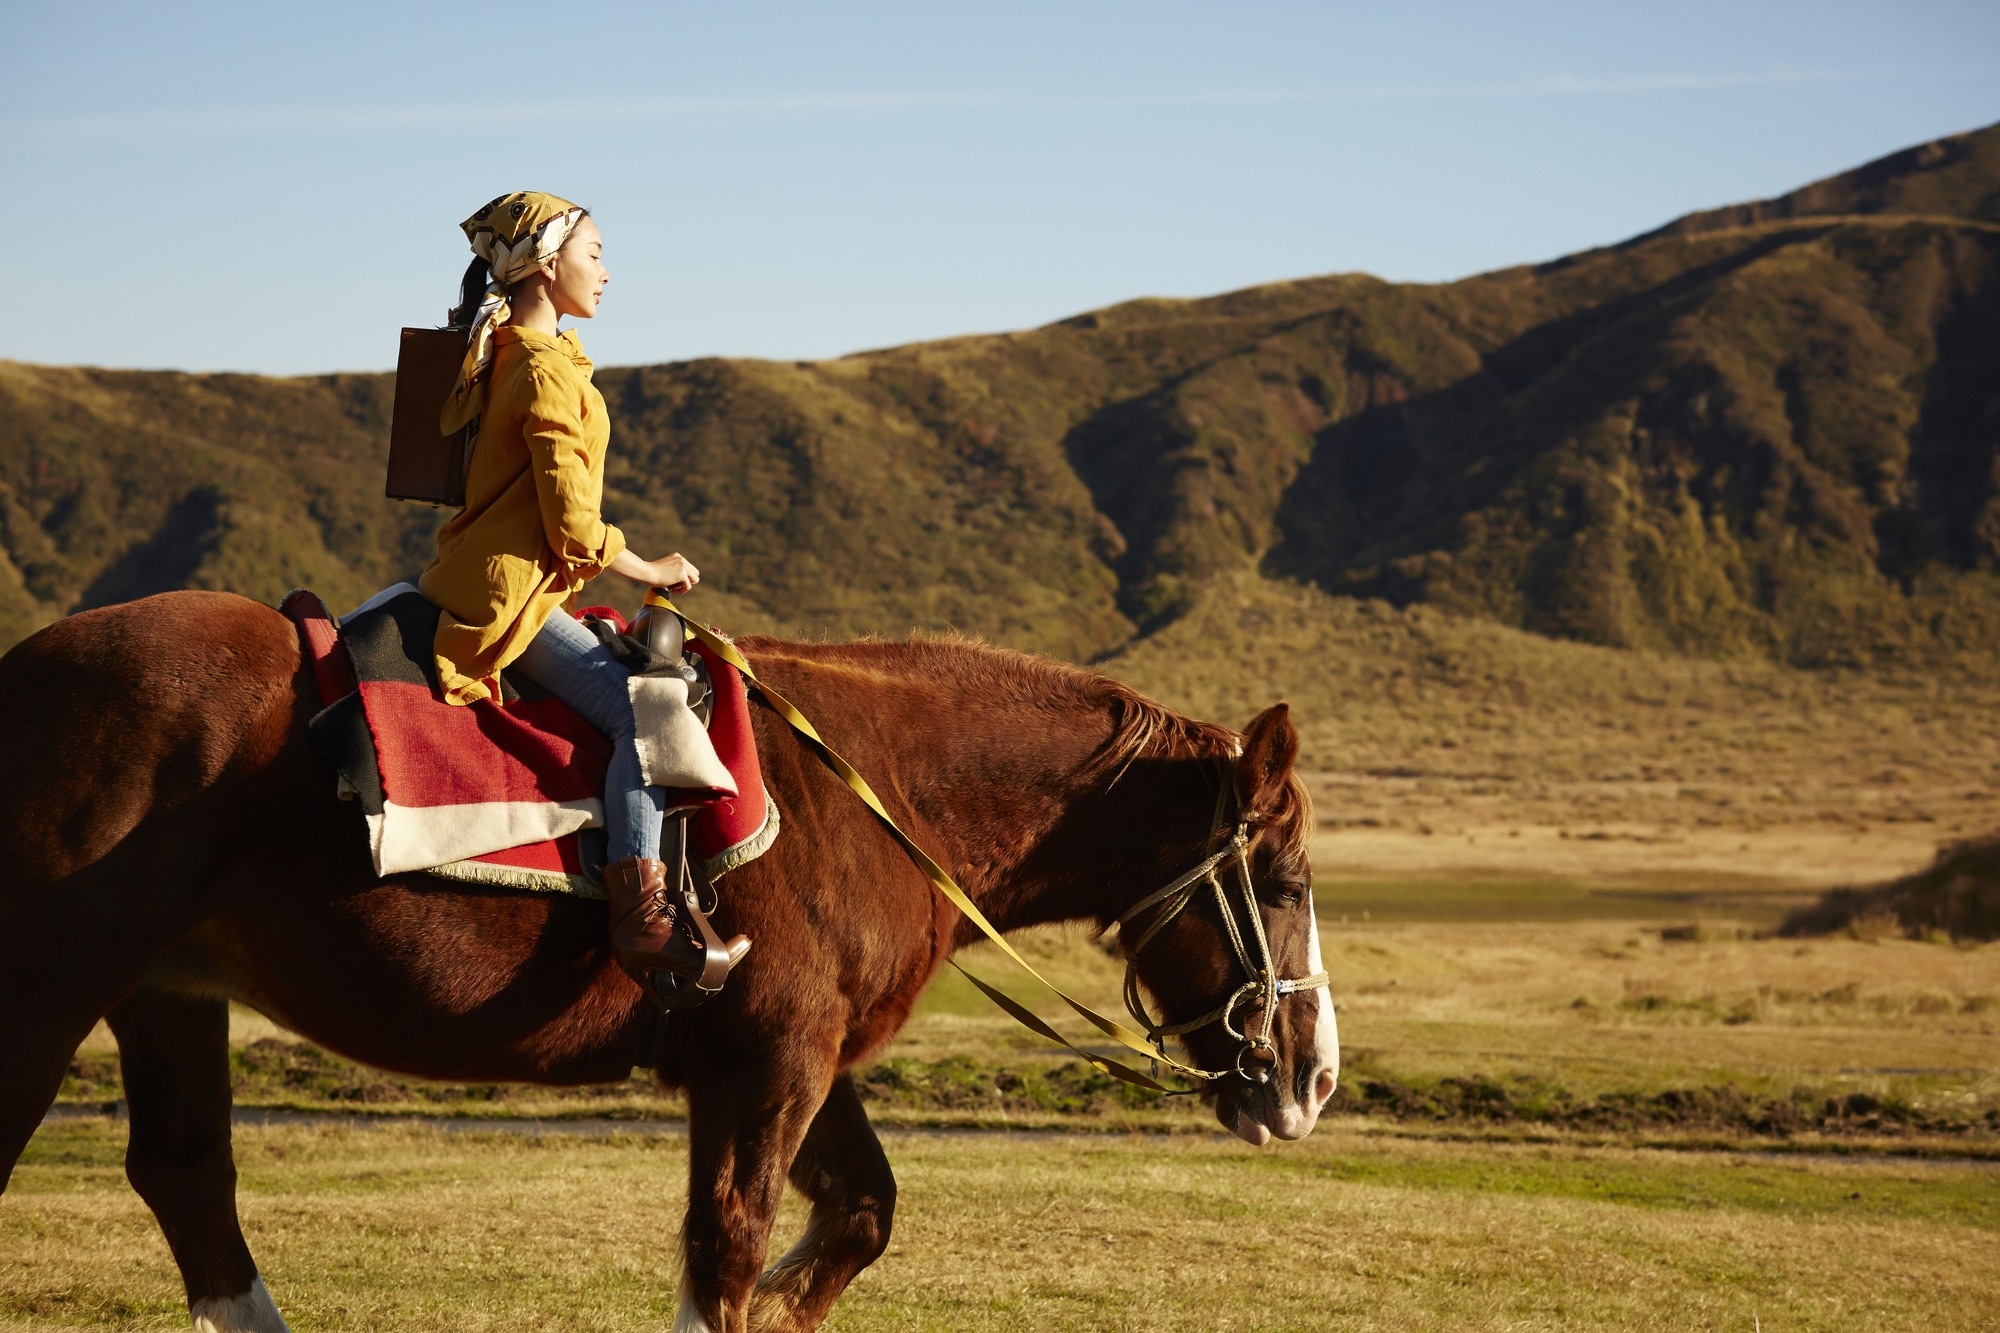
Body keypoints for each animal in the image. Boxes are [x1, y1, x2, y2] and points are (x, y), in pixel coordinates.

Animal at [3, 588, 1344, 1328]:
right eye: (1282, 883)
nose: (1313, 1076)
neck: (870, 791)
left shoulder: (796, 1056)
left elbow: (857, 1215)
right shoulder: (767, 1064)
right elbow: (731, 1247)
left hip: (167, 993)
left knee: (188, 1179)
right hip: (49, 993)